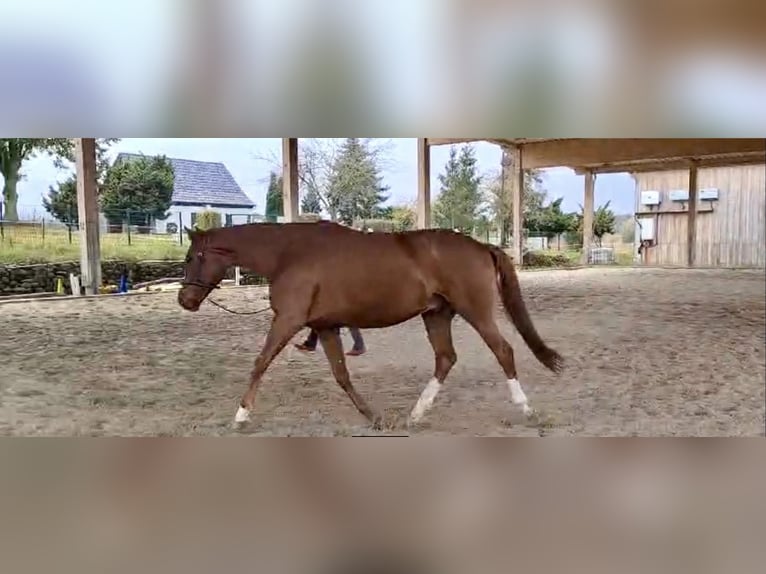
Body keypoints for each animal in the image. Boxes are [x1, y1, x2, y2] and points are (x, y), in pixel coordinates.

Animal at [178, 223, 564, 430]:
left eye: (192, 257)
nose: (185, 300)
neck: (288, 254)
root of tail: (482, 246)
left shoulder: (288, 320)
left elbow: (260, 363)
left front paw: (241, 415)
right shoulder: (327, 327)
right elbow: (341, 375)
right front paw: (374, 417)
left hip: (476, 311)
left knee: (503, 351)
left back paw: (525, 409)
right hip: (437, 315)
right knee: (445, 358)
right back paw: (416, 414)